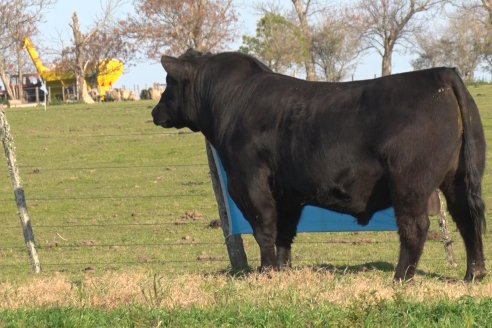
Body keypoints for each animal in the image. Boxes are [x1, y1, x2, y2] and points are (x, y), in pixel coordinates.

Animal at [152, 48, 486, 282]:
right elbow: (284, 232)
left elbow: (264, 227)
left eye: (169, 82)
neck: (233, 99)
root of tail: (441, 74)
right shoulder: (287, 193)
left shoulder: (248, 181)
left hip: (410, 182)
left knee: (415, 227)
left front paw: (266, 272)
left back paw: (401, 278)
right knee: (467, 219)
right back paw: (474, 274)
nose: (155, 112)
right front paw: (283, 270)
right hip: (458, 178)